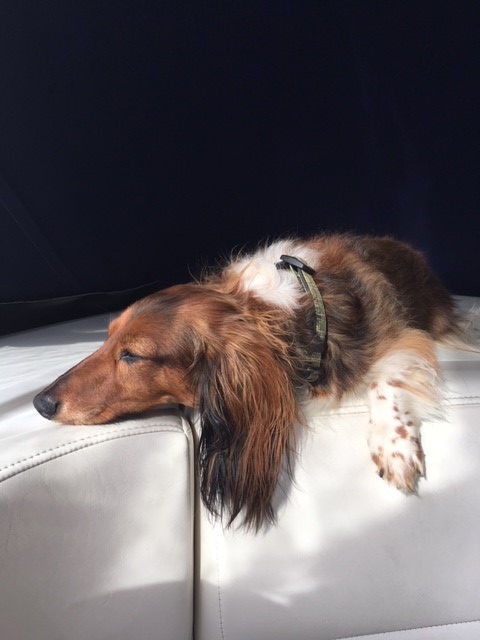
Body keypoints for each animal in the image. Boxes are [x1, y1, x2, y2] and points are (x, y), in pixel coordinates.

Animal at [34, 234, 462, 528]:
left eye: (132, 356)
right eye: (106, 338)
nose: (40, 402)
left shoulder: (402, 337)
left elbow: (385, 383)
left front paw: (395, 448)